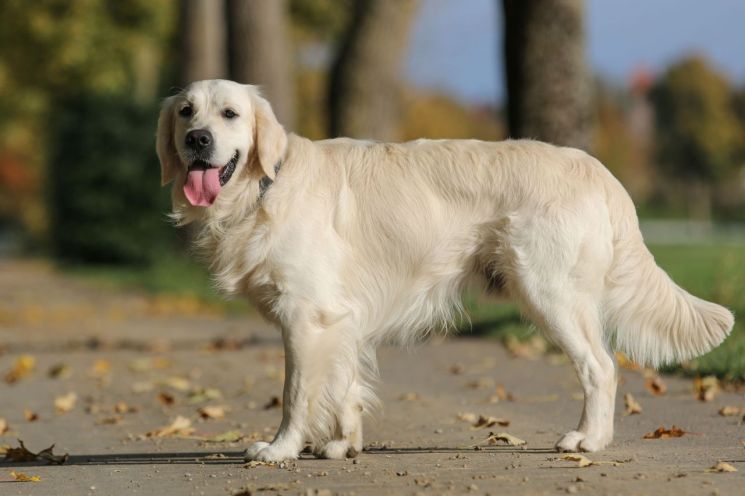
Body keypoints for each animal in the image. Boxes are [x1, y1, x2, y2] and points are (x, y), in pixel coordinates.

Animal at [157, 79, 732, 464]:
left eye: (230, 113)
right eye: (186, 112)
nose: (198, 139)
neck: (265, 186)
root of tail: (600, 172)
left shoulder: (306, 315)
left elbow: (296, 393)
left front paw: (279, 449)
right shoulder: (338, 317)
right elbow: (344, 385)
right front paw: (343, 444)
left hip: (550, 293)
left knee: (601, 367)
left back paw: (587, 440)